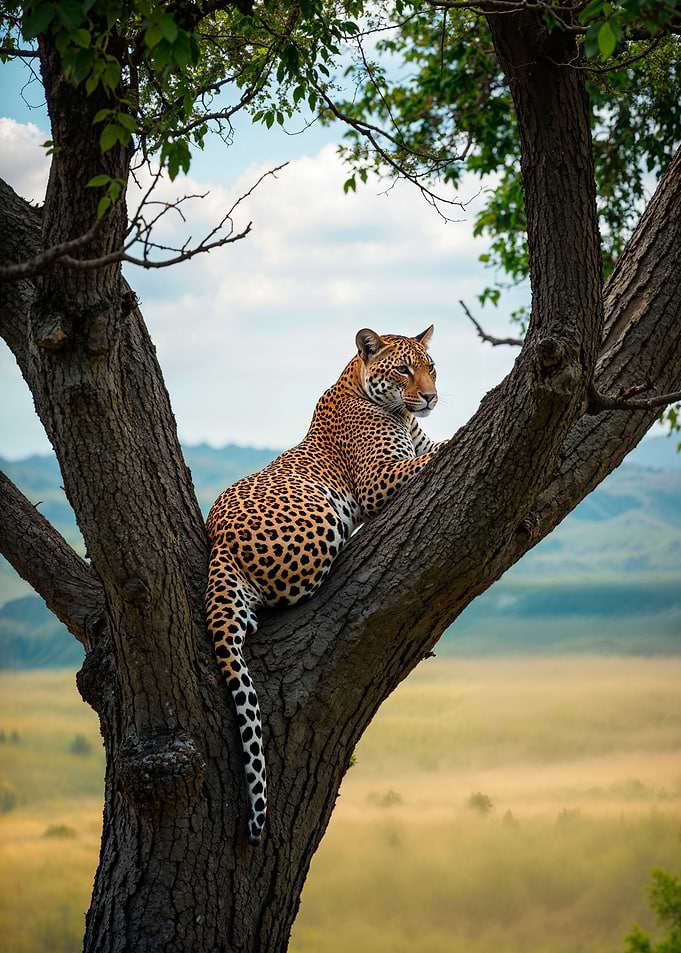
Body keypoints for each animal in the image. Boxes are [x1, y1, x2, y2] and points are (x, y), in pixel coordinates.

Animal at [205, 325, 442, 845]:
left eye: (431, 368)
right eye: (403, 370)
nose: (432, 397)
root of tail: (218, 544)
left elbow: (434, 446)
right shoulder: (379, 479)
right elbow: (443, 449)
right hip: (320, 512)